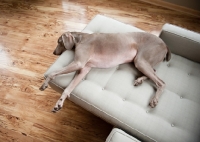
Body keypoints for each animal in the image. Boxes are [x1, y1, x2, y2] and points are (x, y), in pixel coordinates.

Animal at [39, 31, 171, 112]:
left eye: (59, 41)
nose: (54, 53)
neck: (80, 38)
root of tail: (165, 45)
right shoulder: (84, 69)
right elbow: (68, 89)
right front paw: (59, 104)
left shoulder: (78, 63)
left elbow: (52, 73)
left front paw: (44, 84)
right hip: (142, 62)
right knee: (154, 71)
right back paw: (139, 80)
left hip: (141, 60)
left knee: (162, 82)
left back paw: (154, 99)